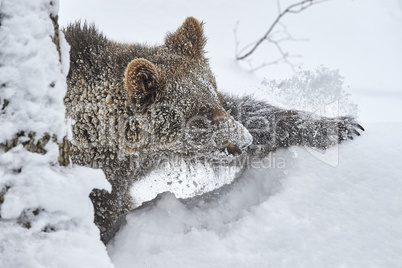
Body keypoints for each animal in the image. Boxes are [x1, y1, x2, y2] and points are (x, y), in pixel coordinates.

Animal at [62, 16, 362, 243]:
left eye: (215, 95)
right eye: (201, 112)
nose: (244, 140)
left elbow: (257, 116)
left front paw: (338, 126)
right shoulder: (99, 176)